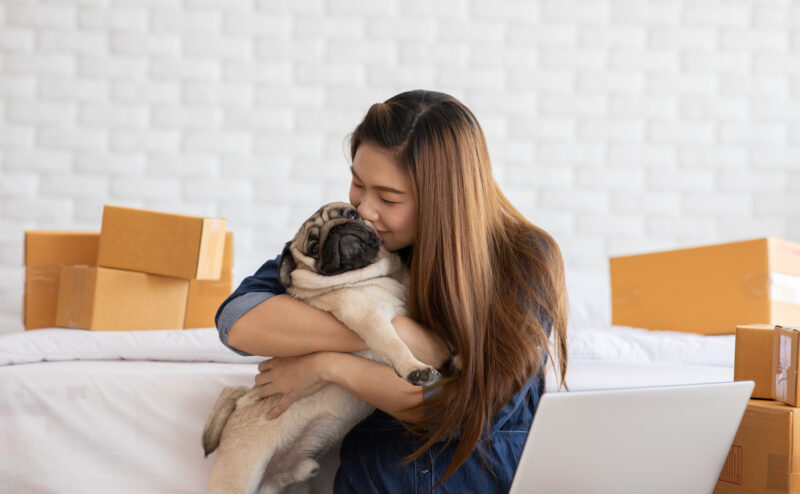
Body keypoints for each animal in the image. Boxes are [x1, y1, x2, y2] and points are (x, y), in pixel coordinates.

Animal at [203, 202, 444, 494]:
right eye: (314, 246)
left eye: (351, 214)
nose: (338, 229)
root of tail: (238, 406)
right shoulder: (371, 320)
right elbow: (395, 345)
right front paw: (415, 369)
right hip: (239, 478)